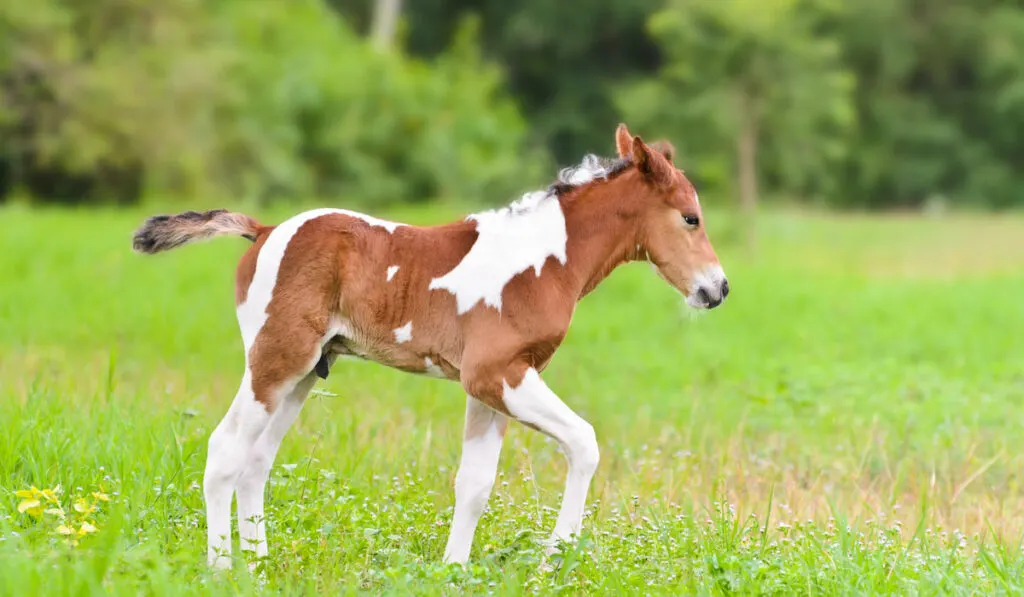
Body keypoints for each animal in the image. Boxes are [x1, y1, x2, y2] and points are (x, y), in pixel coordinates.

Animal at [134, 123, 729, 573]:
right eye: (690, 218)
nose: (718, 289)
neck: (543, 262)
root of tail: (264, 230)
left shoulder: (494, 385)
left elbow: (475, 483)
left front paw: (454, 571)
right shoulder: (495, 374)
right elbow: (583, 442)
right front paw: (552, 562)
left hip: (305, 373)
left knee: (256, 460)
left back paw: (258, 567)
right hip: (275, 361)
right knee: (225, 450)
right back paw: (222, 570)